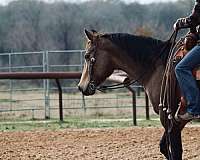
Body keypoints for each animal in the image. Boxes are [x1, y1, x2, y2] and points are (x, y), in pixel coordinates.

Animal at [78, 29, 189, 160]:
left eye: (87, 56)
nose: (81, 86)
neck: (157, 68)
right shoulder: (177, 120)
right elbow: (165, 147)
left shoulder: (169, 117)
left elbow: (175, 151)